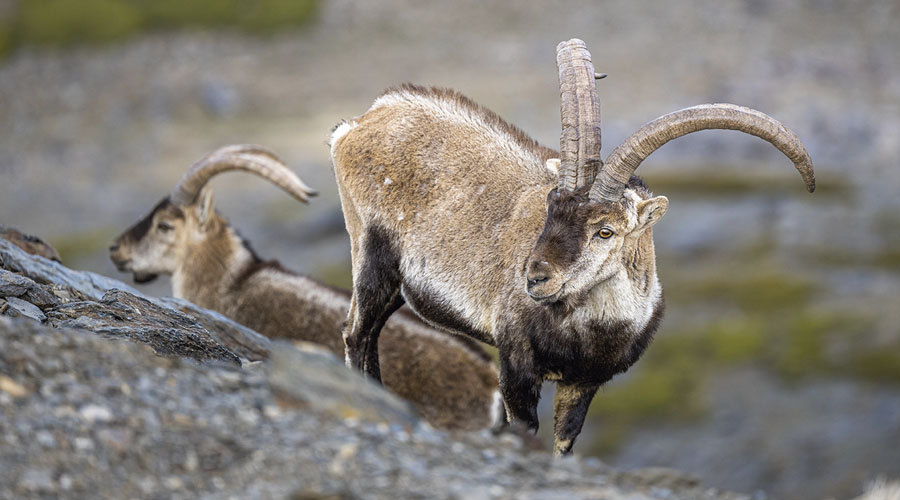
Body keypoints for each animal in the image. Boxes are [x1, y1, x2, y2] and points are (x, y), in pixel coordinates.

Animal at [329, 39, 816, 455]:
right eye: (550, 209)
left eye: (606, 231)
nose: (535, 279)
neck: (591, 327)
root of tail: (359, 123)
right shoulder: (516, 362)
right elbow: (524, 427)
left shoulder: (584, 382)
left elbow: (565, 442)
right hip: (371, 253)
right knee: (356, 333)